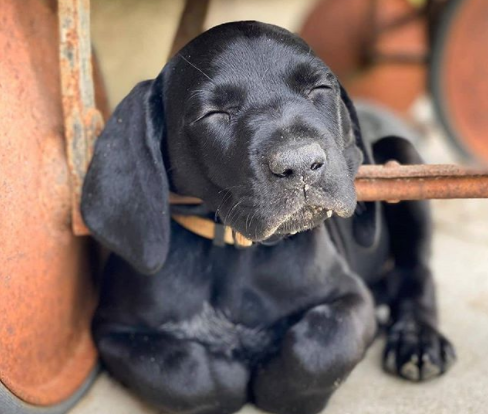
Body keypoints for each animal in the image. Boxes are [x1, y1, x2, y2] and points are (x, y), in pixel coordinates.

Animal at [81, 21, 455, 414]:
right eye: (213, 113)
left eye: (320, 88)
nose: (301, 164)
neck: (230, 246)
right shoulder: (112, 331)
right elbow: (181, 372)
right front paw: (228, 372)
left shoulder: (352, 298)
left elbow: (322, 346)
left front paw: (280, 386)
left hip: (403, 158)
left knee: (416, 271)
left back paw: (417, 339)